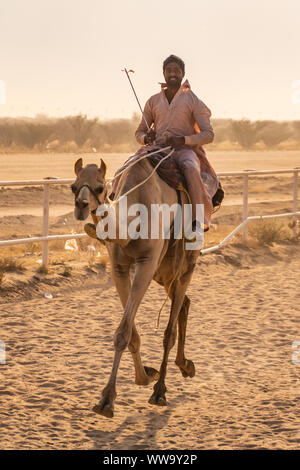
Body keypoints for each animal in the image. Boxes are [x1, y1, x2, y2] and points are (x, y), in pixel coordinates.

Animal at [71, 156, 200, 416]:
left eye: (100, 188)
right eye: (73, 186)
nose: (80, 205)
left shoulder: (147, 262)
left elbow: (124, 331)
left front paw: (106, 400)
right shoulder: (119, 267)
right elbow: (127, 332)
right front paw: (144, 377)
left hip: (185, 265)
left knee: (170, 327)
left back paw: (160, 392)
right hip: (165, 273)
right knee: (184, 303)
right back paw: (185, 366)